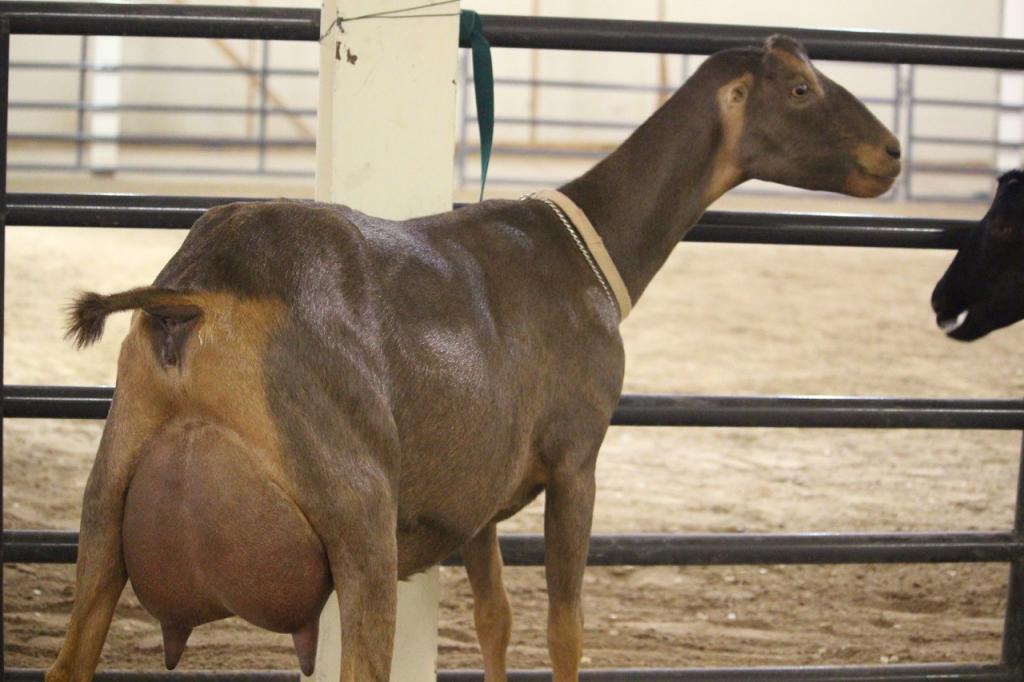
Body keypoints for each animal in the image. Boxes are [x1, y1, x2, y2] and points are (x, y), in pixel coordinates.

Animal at [46, 35, 897, 679]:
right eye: (799, 88)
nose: (890, 152)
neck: (588, 248)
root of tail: (194, 297)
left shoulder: (479, 495)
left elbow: (496, 618)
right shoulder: (577, 457)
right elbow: (564, 626)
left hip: (107, 495)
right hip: (358, 513)